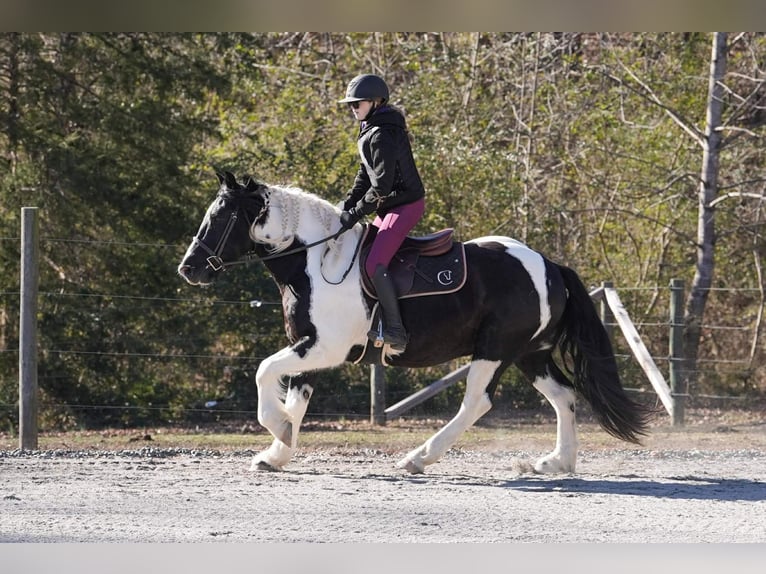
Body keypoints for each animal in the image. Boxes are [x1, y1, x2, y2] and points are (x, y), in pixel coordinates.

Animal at [178, 171, 652, 474]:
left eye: (220, 217)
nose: (188, 268)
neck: (314, 259)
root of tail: (550, 266)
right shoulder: (309, 348)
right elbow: (295, 400)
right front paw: (278, 453)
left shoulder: (324, 347)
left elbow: (264, 373)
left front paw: (277, 431)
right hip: (528, 355)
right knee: (564, 396)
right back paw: (558, 462)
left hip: (494, 351)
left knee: (476, 404)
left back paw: (418, 458)